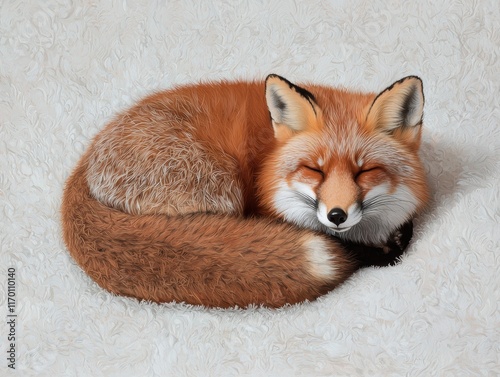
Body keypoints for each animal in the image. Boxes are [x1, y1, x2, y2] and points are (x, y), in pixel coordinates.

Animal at [61, 74, 430, 308]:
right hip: (220, 185)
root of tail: (83, 167)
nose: (336, 216)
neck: (269, 158)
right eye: (315, 170)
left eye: (364, 171)